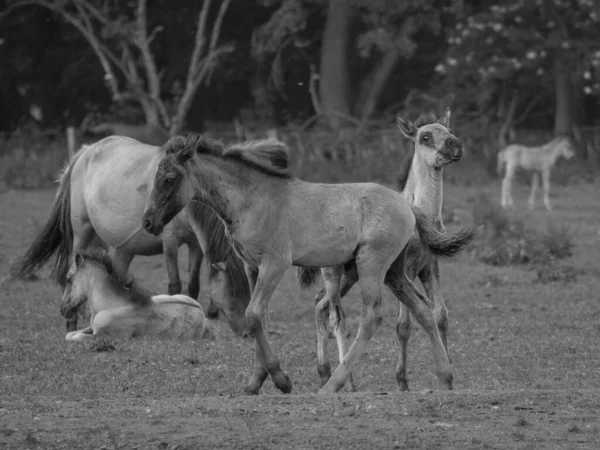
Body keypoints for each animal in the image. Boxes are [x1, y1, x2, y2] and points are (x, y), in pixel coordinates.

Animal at [58, 250, 217, 342]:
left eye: (68, 279)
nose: (63, 309)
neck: (110, 306)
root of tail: (203, 314)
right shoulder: (92, 327)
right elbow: (69, 334)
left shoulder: (111, 337)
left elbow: (76, 337)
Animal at [142, 133, 468, 394]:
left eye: (169, 179)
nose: (147, 222)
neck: (252, 201)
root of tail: (409, 207)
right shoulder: (252, 267)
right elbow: (259, 317)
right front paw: (255, 383)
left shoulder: (275, 264)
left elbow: (253, 314)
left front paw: (281, 379)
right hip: (394, 272)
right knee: (422, 310)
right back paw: (445, 377)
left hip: (371, 265)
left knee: (372, 316)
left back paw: (334, 384)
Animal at [308, 108, 480, 390]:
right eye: (425, 136)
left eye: (450, 130)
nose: (456, 145)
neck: (422, 213)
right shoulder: (405, 270)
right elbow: (403, 325)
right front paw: (402, 381)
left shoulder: (430, 267)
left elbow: (440, 315)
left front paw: (448, 374)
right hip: (339, 271)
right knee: (333, 314)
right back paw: (347, 382)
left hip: (351, 274)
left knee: (319, 304)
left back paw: (326, 373)